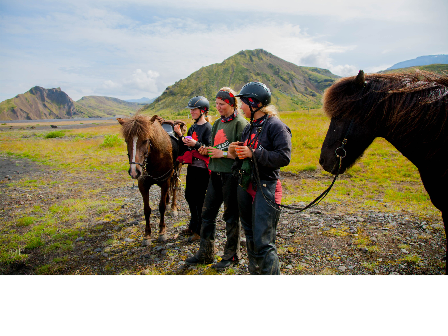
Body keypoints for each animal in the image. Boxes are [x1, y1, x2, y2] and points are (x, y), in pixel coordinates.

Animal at [118, 114, 186, 243]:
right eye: (126, 141)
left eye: (145, 140)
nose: (134, 172)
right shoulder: (143, 185)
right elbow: (146, 209)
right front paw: (147, 234)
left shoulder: (164, 182)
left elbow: (161, 207)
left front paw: (162, 232)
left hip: (176, 172)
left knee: (174, 188)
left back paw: (173, 207)